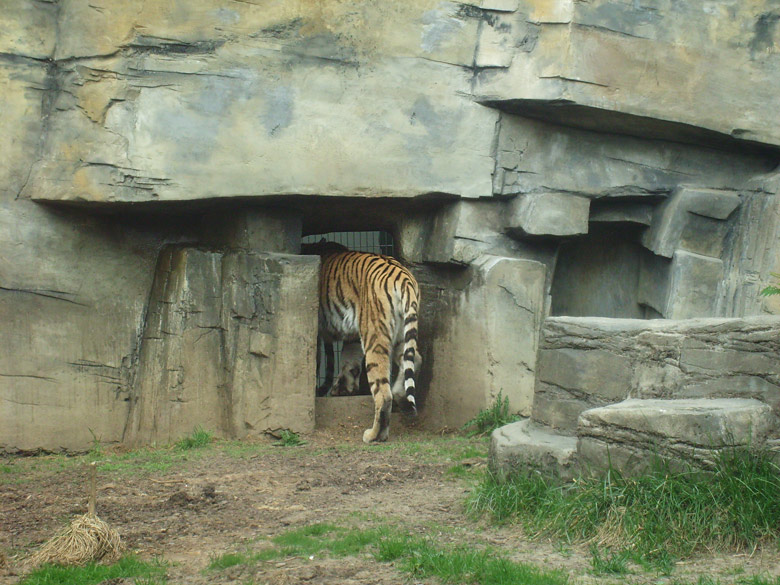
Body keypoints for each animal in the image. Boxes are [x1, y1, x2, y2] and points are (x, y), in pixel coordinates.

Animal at [302, 238, 420, 442]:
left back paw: (374, 435)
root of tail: (403, 276)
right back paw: (400, 396)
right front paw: (344, 389)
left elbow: (318, 362)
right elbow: (349, 362)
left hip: (375, 336)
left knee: (383, 393)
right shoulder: (353, 335)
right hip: (401, 335)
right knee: (415, 359)